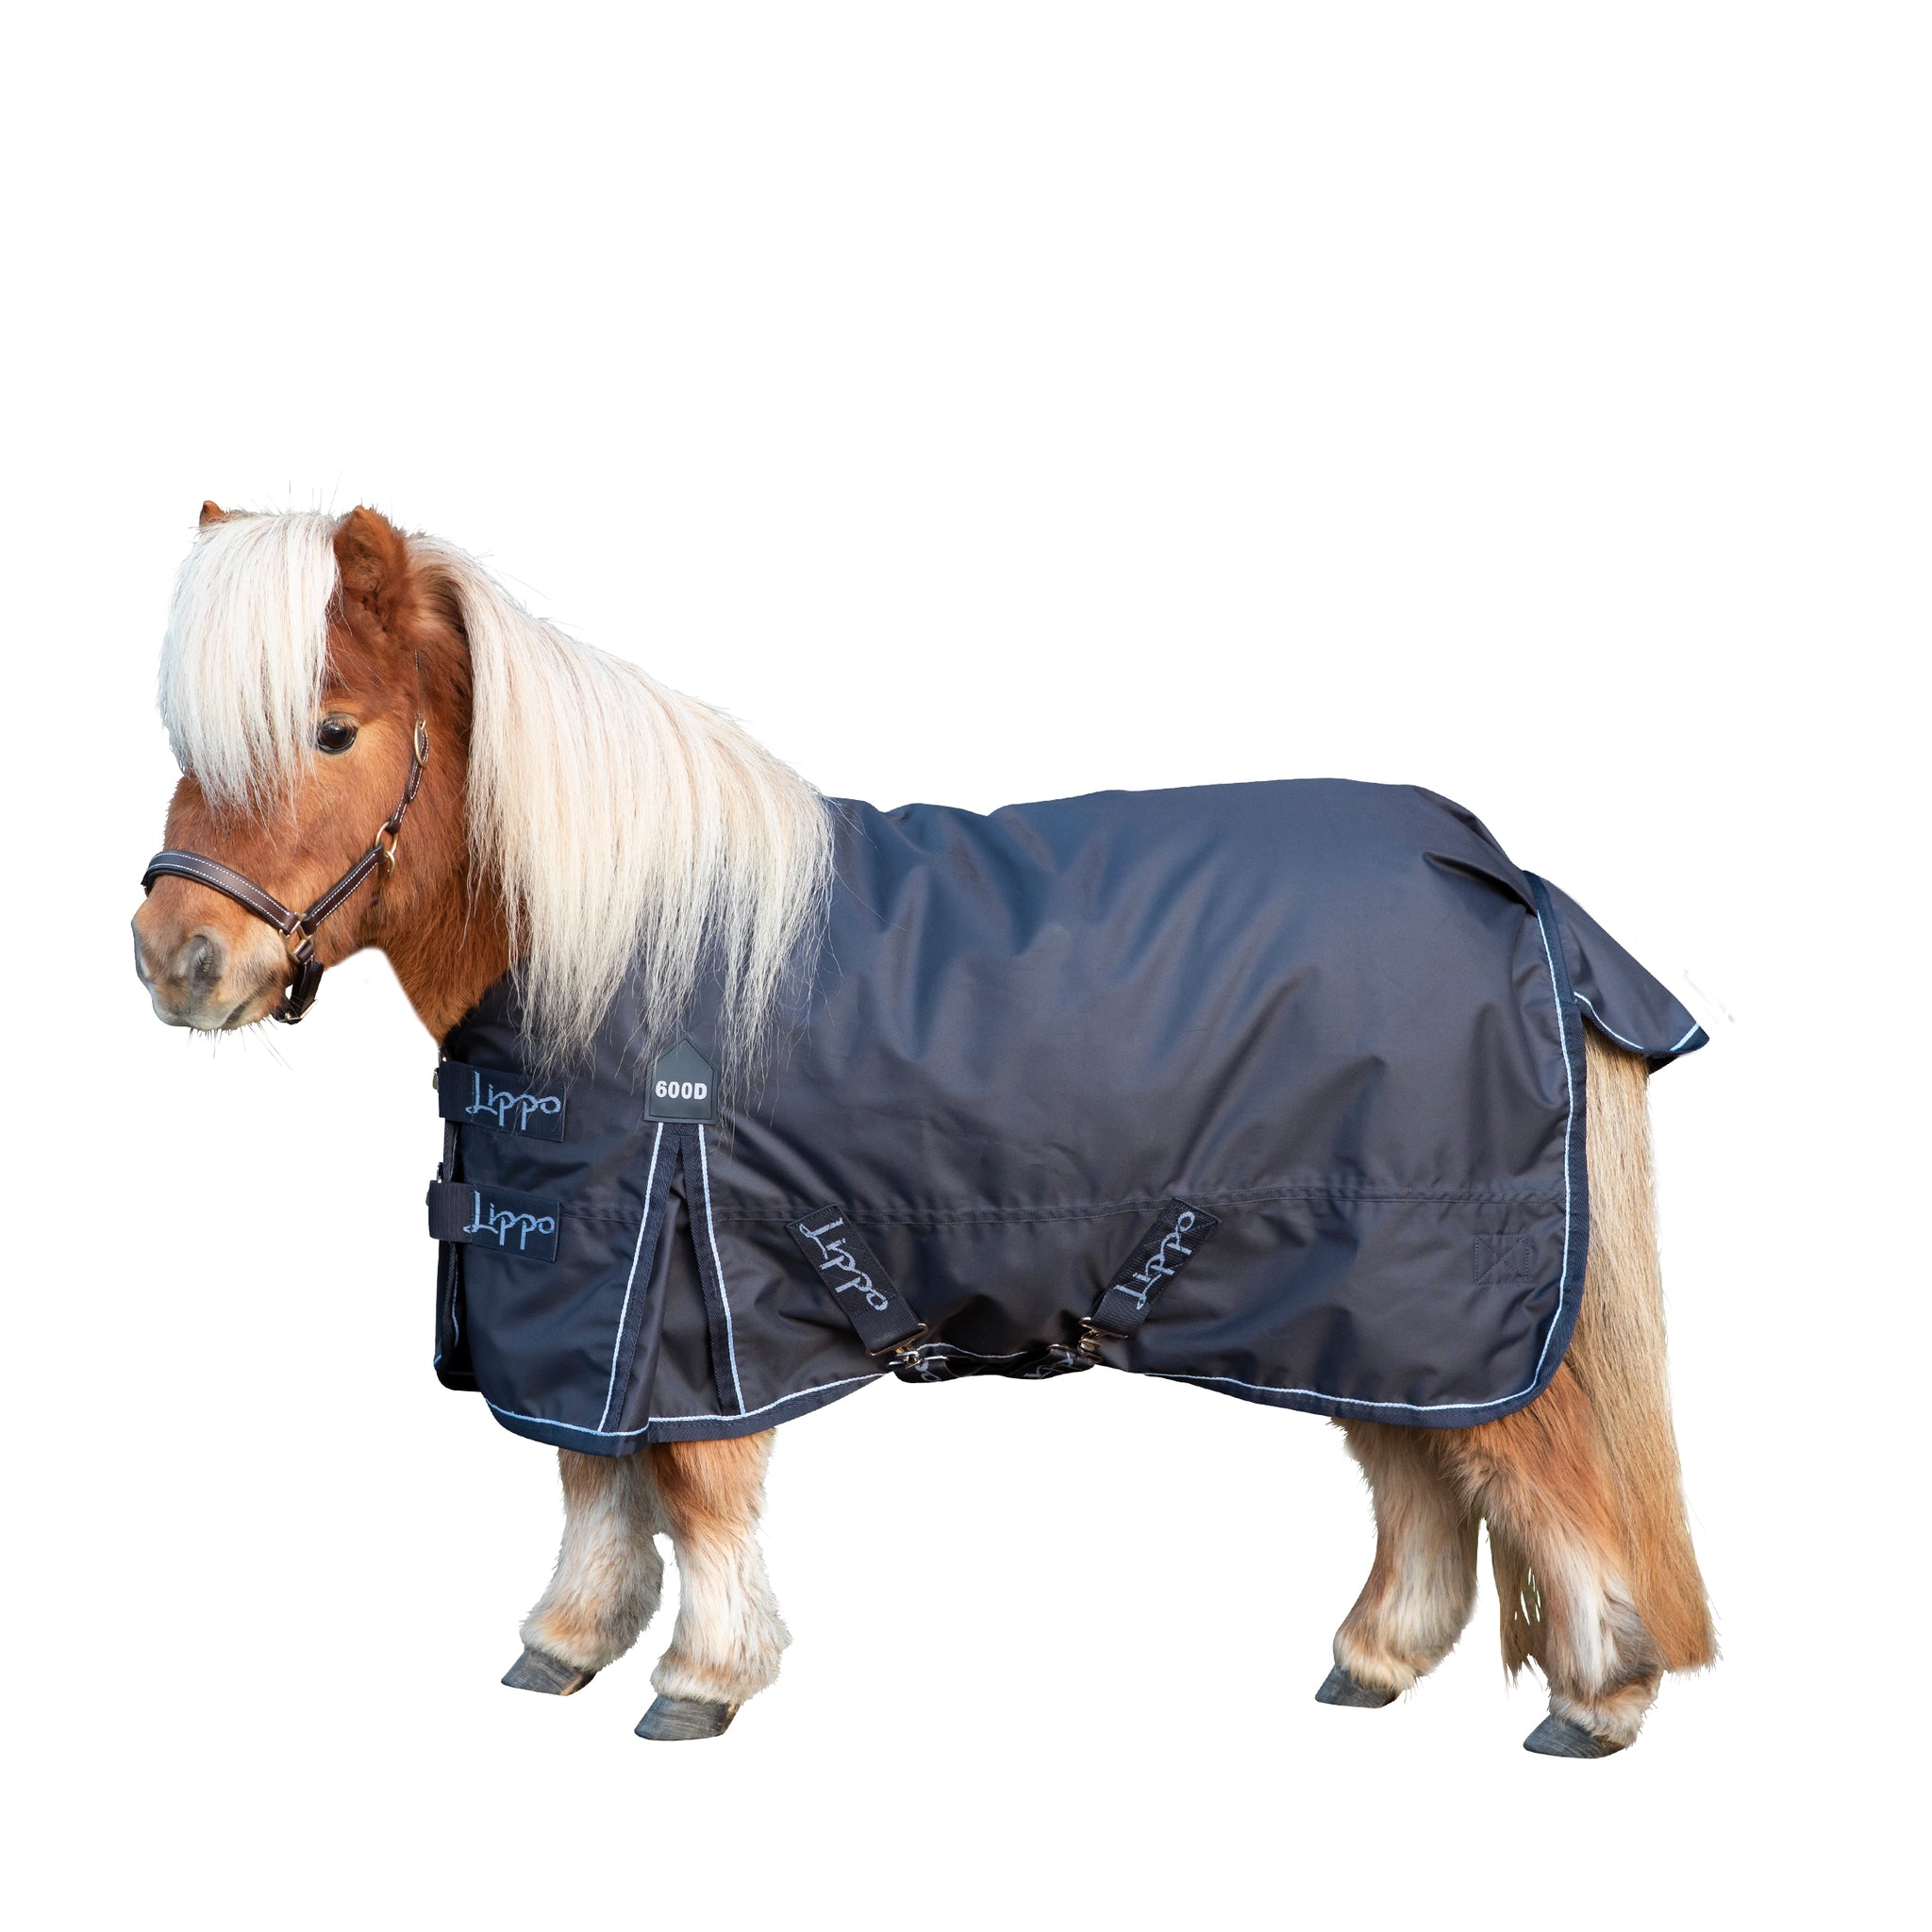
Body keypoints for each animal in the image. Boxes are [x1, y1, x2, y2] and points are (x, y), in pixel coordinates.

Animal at [132, 503, 1716, 1756]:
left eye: (333, 729)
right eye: (188, 744)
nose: (175, 959)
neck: (621, 941)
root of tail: (1510, 881)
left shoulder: (694, 1295)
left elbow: (694, 1493)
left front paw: (702, 1681)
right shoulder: (575, 1296)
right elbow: (593, 1482)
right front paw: (565, 1646)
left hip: (1445, 1292)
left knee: (1546, 1483)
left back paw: (1595, 1706)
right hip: (1359, 1306)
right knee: (1421, 1480)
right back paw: (1375, 1663)